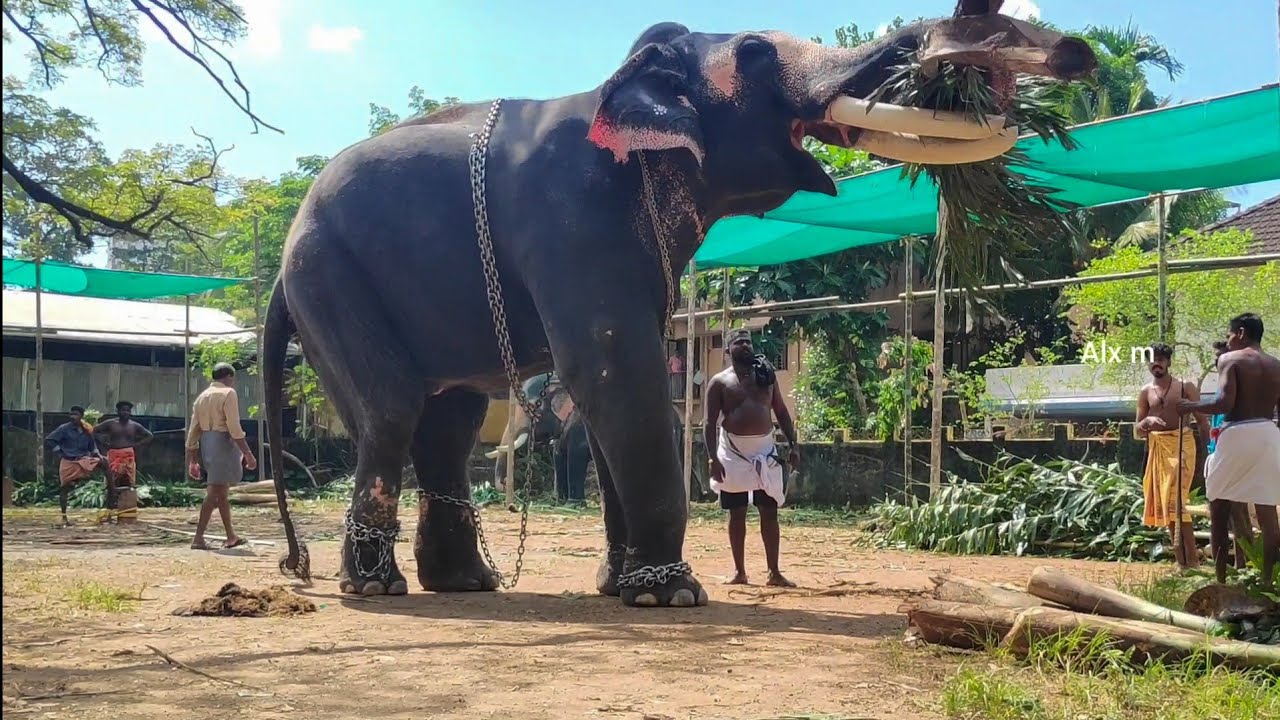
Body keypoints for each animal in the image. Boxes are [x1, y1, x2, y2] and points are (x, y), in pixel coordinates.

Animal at [261, 2, 1095, 607]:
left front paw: (622, 586)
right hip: (327, 275)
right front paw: (672, 597)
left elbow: (617, 384)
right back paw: (377, 588)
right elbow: (611, 371)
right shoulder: (571, 216)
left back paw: (465, 584)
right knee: (393, 409)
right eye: (755, 53)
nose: (1076, 54)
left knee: (449, 422)